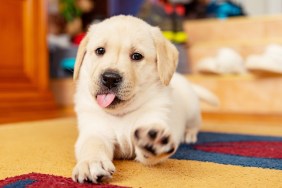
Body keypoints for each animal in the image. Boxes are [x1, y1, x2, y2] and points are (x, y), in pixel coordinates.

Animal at [71, 15, 217, 183]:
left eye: (137, 56)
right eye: (100, 50)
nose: (110, 78)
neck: (121, 114)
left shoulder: (154, 118)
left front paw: (153, 142)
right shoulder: (94, 130)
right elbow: (92, 145)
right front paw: (91, 163)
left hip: (192, 111)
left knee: (195, 124)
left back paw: (189, 135)